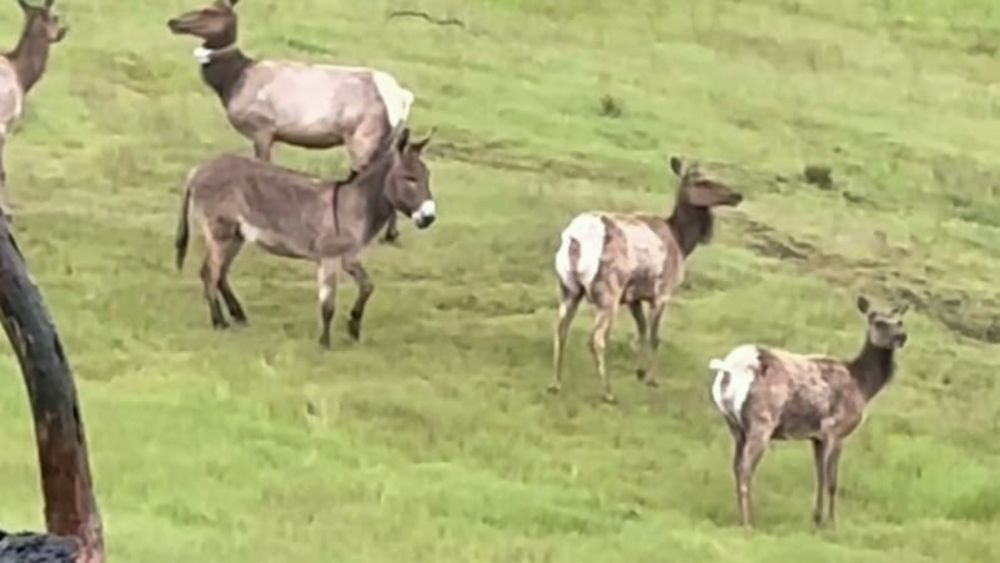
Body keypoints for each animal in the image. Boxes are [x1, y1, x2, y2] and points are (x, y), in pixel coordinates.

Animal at [168, 0, 414, 243]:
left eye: (210, 11)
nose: (173, 22)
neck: (233, 81)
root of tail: (403, 98)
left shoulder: (263, 127)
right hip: (385, 140)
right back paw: (391, 233)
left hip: (363, 137)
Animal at [173, 128, 438, 348]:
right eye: (409, 178)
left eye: (427, 176)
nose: (429, 217)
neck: (352, 205)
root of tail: (197, 170)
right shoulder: (329, 258)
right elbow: (328, 304)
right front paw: (325, 343)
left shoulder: (349, 257)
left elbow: (367, 286)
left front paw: (353, 328)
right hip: (220, 232)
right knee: (210, 273)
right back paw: (220, 323)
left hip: (236, 235)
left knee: (221, 274)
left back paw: (239, 316)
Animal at [548, 158, 744, 406]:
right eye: (703, 181)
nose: (737, 195)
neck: (682, 242)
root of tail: (575, 240)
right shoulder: (661, 292)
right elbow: (654, 336)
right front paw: (651, 379)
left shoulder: (634, 296)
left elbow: (641, 330)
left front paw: (640, 371)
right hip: (608, 291)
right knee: (597, 338)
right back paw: (608, 392)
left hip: (568, 288)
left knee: (560, 329)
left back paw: (555, 383)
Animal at [708, 298, 912, 532]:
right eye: (878, 322)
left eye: (899, 321)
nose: (902, 336)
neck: (862, 386)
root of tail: (730, 368)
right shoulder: (836, 429)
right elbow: (832, 481)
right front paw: (831, 523)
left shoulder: (817, 437)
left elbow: (820, 477)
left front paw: (817, 519)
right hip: (762, 420)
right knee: (745, 469)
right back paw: (747, 523)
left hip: (734, 425)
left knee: (735, 466)